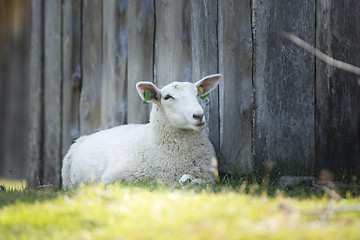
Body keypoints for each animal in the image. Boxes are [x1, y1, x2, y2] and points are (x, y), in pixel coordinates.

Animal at [60, 73, 221, 188]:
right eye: (167, 97)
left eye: (197, 94)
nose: (199, 115)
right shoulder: (111, 179)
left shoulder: (209, 178)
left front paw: (188, 180)